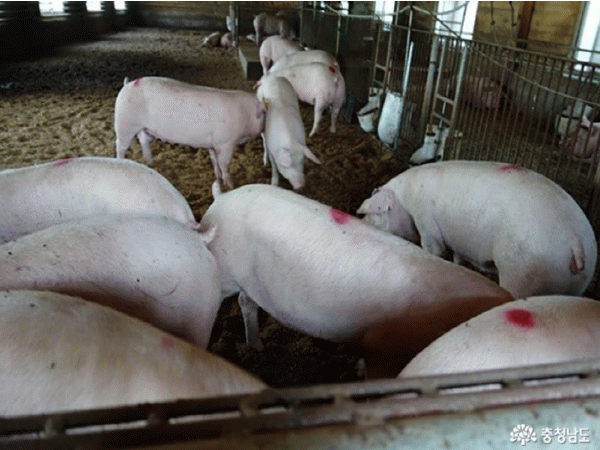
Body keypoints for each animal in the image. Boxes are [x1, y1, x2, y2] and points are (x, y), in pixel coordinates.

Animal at [114, 77, 266, 191]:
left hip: (143, 128)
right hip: (124, 123)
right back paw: (121, 161)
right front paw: (231, 185)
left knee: (144, 140)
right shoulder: (225, 143)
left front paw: (217, 178)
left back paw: (150, 162)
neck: (245, 114)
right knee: (120, 145)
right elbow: (225, 164)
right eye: (264, 113)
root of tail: (127, 84)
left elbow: (214, 161)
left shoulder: (213, 144)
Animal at [199, 184, 513, 378]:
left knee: (246, 302)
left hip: (249, 282)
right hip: (222, 267)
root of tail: (221, 198)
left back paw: (257, 348)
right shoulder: (384, 348)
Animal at [357, 161, 597, 298]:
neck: (405, 200)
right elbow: (458, 258)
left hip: (522, 275)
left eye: (375, 213)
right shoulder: (458, 242)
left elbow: (433, 249)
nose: (360, 220)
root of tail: (576, 241)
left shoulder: (426, 221)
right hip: (578, 285)